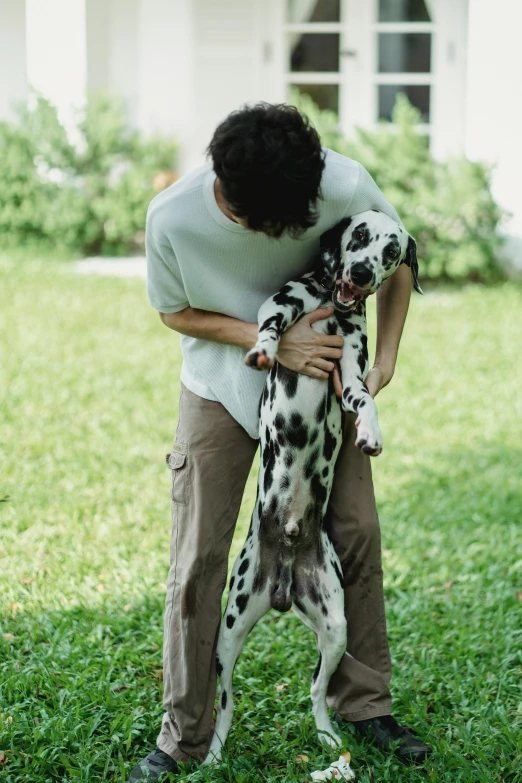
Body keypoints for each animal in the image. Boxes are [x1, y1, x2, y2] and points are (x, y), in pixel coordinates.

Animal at [201, 210, 420, 764]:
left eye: (392, 251)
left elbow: (367, 399)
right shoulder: (282, 308)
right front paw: (261, 350)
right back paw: (212, 755)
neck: (331, 310)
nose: (362, 272)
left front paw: (370, 434)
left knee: (317, 691)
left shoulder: (351, 376)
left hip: (336, 629)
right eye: (359, 236)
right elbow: (271, 328)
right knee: (226, 702)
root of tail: (281, 581)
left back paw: (326, 737)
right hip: (228, 632)